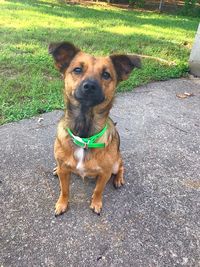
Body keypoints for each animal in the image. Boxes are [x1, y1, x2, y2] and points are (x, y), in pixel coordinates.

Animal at [48, 42, 141, 218]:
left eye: (106, 74)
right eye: (77, 69)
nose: (90, 86)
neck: (84, 135)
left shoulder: (105, 173)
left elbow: (98, 190)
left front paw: (96, 203)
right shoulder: (65, 171)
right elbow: (64, 190)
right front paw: (62, 204)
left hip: (116, 163)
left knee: (121, 166)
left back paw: (118, 179)